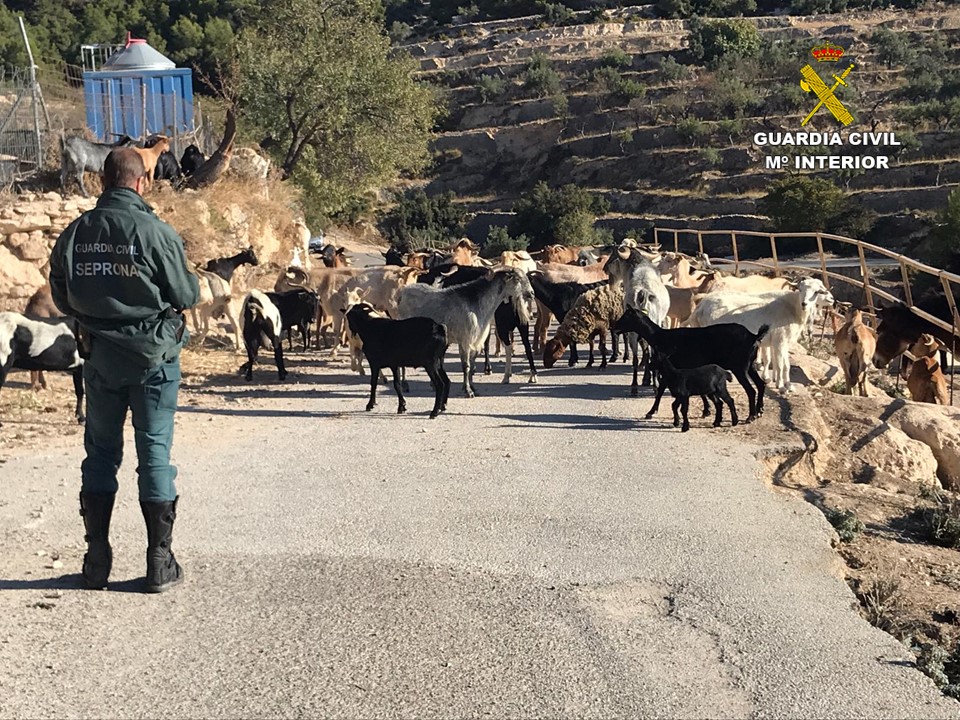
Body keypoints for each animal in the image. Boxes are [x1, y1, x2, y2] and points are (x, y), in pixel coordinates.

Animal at [396, 268, 532, 396]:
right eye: (517, 279)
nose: (531, 293)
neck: (477, 304)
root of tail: (402, 293)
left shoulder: (476, 343)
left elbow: (472, 366)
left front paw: (473, 388)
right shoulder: (465, 341)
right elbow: (466, 366)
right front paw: (468, 391)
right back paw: (405, 384)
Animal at [616, 308, 772, 422]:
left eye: (626, 317)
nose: (614, 326)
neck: (660, 337)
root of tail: (753, 336)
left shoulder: (671, 368)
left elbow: (660, 391)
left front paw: (651, 412)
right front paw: (706, 410)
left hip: (739, 366)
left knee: (751, 390)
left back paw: (751, 416)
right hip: (750, 365)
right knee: (760, 384)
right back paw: (760, 411)